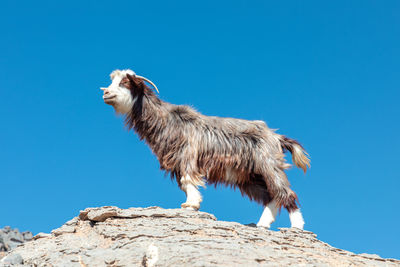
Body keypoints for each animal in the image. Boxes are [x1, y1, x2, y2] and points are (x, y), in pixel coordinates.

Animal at [99, 69, 310, 230]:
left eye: (125, 82)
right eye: (113, 80)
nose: (105, 94)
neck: (167, 119)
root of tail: (276, 137)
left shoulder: (187, 155)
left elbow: (187, 180)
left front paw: (191, 205)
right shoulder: (177, 161)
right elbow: (184, 184)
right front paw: (191, 204)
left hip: (269, 165)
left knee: (286, 193)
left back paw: (297, 226)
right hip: (251, 176)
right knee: (272, 196)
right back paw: (263, 224)